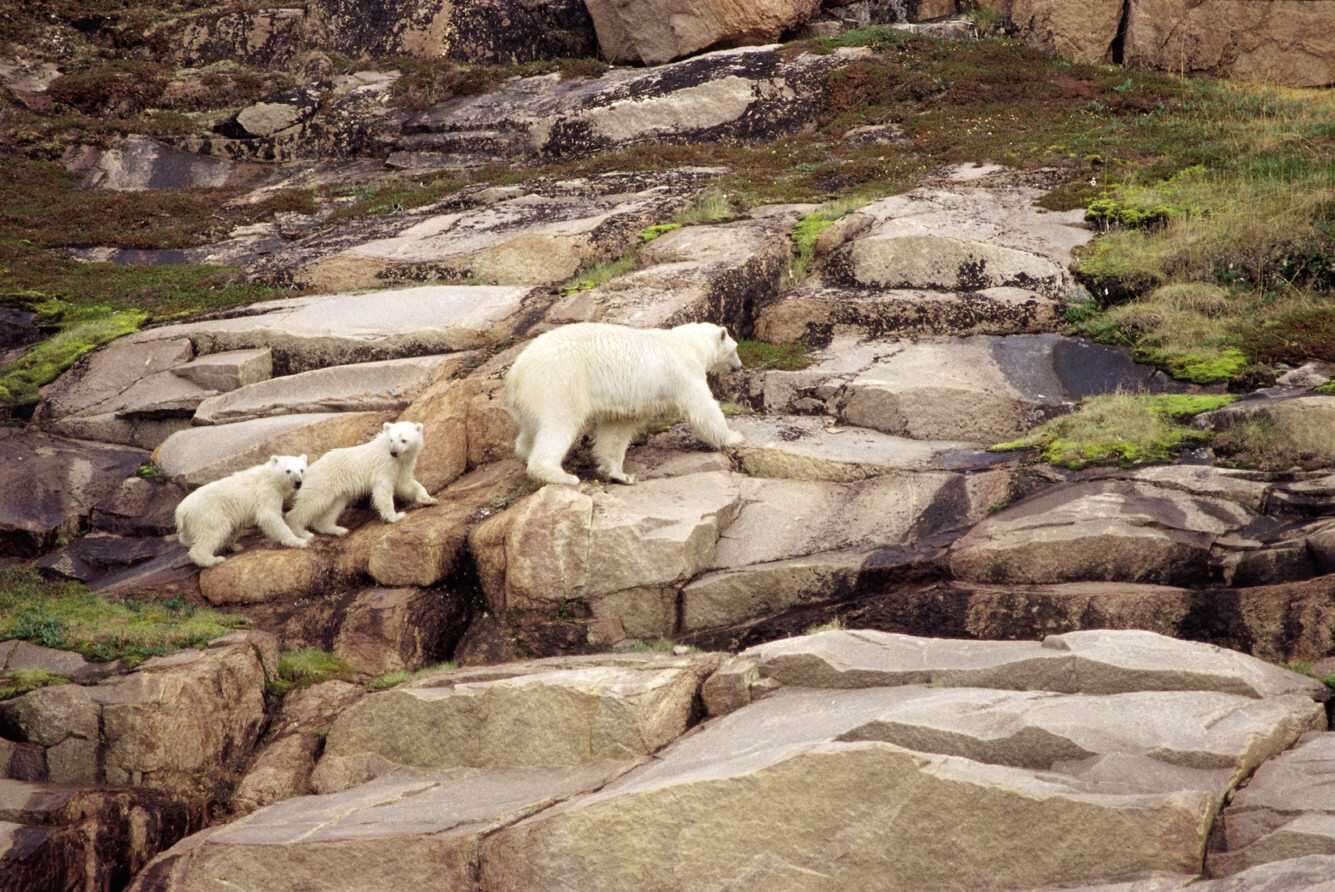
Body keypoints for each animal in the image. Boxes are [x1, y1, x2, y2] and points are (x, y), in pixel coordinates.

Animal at [504, 321, 747, 488]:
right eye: (735, 349)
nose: (739, 366)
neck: (688, 344)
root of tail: (516, 373)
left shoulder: (629, 402)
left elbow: (616, 431)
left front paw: (621, 475)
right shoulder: (682, 373)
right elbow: (702, 407)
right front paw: (733, 436)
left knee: (530, 431)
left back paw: (525, 452)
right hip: (559, 383)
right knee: (558, 425)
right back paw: (562, 476)